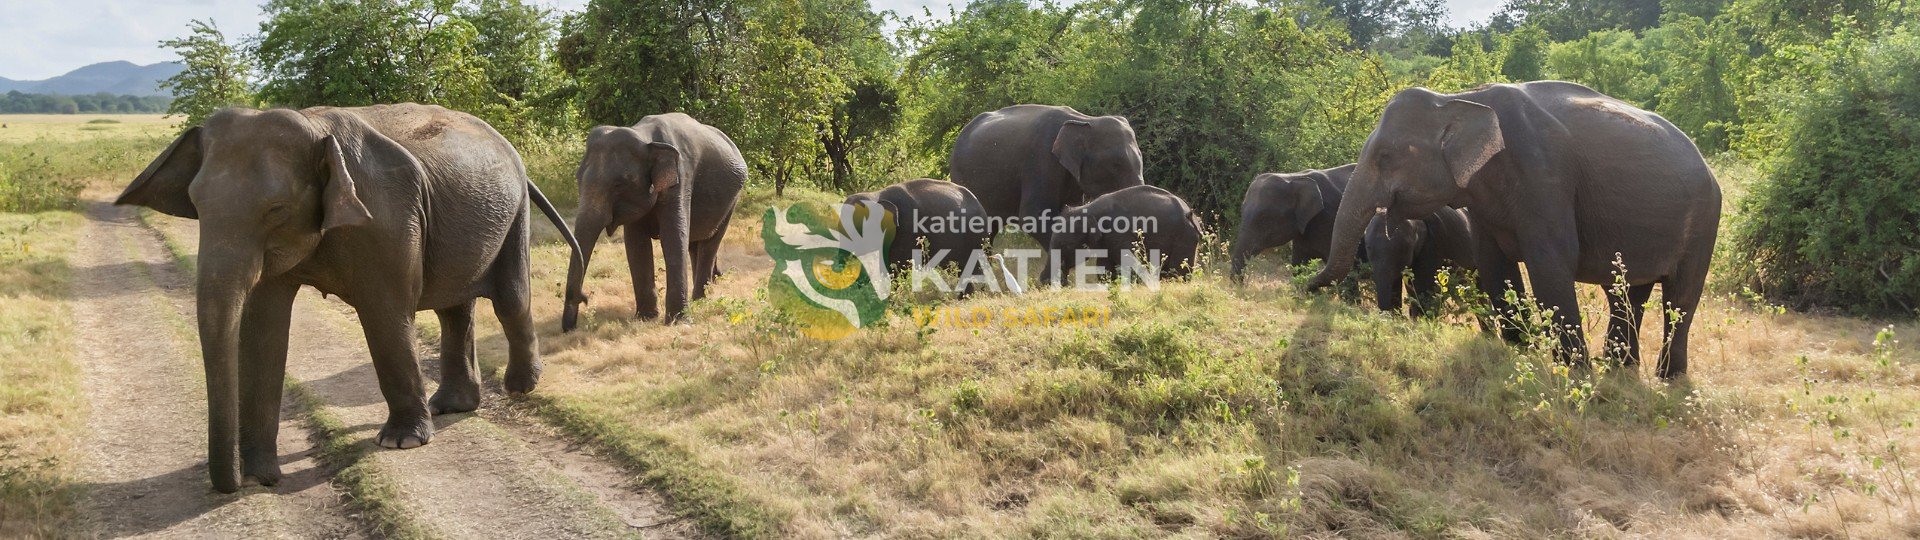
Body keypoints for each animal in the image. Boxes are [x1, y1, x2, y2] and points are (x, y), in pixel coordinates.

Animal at [114, 104, 583, 493]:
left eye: (276, 209)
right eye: (195, 204)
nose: (246, 482)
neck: (314, 128)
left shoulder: (386, 219)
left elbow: (384, 315)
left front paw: (401, 443)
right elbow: (263, 330)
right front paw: (258, 472)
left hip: (515, 213)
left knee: (510, 300)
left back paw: (519, 389)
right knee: (454, 308)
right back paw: (451, 406)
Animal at [562, 113, 746, 330]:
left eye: (619, 184)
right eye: (578, 179)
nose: (584, 298)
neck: (645, 137)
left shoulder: (681, 179)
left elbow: (673, 238)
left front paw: (678, 323)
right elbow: (636, 245)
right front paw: (645, 318)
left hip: (732, 200)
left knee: (711, 243)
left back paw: (700, 299)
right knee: (695, 244)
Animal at [1047, 185, 1203, 286]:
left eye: (1066, 246)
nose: (1064, 284)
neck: (1087, 208)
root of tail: (1190, 214)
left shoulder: (1119, 233)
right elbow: (1104, 265)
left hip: (1183, 237)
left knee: (1178, 270)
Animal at [1304, 81, 1722, 377]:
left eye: (1385, 157)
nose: (1305, 287)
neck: (1462, 99)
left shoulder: (1545, 176)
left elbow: (1551, 262)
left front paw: (1573, 371)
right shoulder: (1481, 197)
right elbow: (1494, 265)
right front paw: (1518, 351)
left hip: (1705, 220)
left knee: (1680, 297)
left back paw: (1668, 379)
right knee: (1626, 294)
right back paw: (1621, 371)